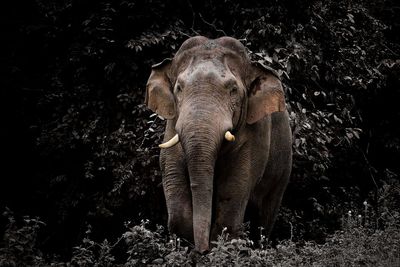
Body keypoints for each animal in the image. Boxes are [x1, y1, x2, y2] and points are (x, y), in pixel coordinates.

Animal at [145, 36, 292, 254]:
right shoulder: (172, 125)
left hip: (283, 170)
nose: (202, 251)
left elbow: (235, 185)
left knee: (263, 218)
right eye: (178, 88)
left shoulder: (256, 132)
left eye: (233, 90)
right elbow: (172, 170)